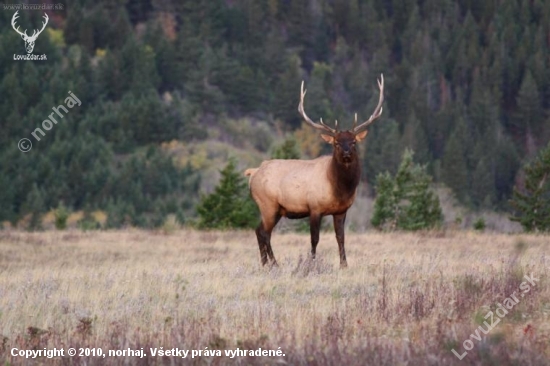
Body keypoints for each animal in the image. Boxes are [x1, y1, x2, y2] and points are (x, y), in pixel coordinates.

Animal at [246, 75, 384, 268]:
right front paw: (311, 263)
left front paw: (344, 265)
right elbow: (314, 239)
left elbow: (340, 238)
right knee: (264, 232)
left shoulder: (341, 210)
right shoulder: (314, 207)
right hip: (267, 204)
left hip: (277, 209)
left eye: (354, 142)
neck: (340, 188)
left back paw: (265, 263)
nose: (347, 153)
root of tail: (253, 172)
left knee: (259, 230)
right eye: (336, 143)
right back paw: (274, 263)